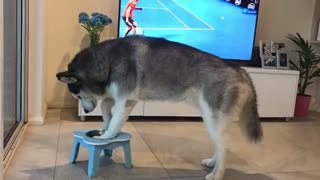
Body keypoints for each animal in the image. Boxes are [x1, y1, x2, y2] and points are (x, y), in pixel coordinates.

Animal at [57, 35, 262, 180]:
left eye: (77, 95)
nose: (86, 111)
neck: (108, 61)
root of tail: (239, 68)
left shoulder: (126, 100)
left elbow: (114, 119)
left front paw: (107, 135)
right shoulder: (122, 97)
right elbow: (107, 107)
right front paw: (105, 125)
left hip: (214, 118)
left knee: (224, 147)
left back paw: (217, 174)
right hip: (209, 117)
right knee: (221, 145)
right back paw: (212, 162)